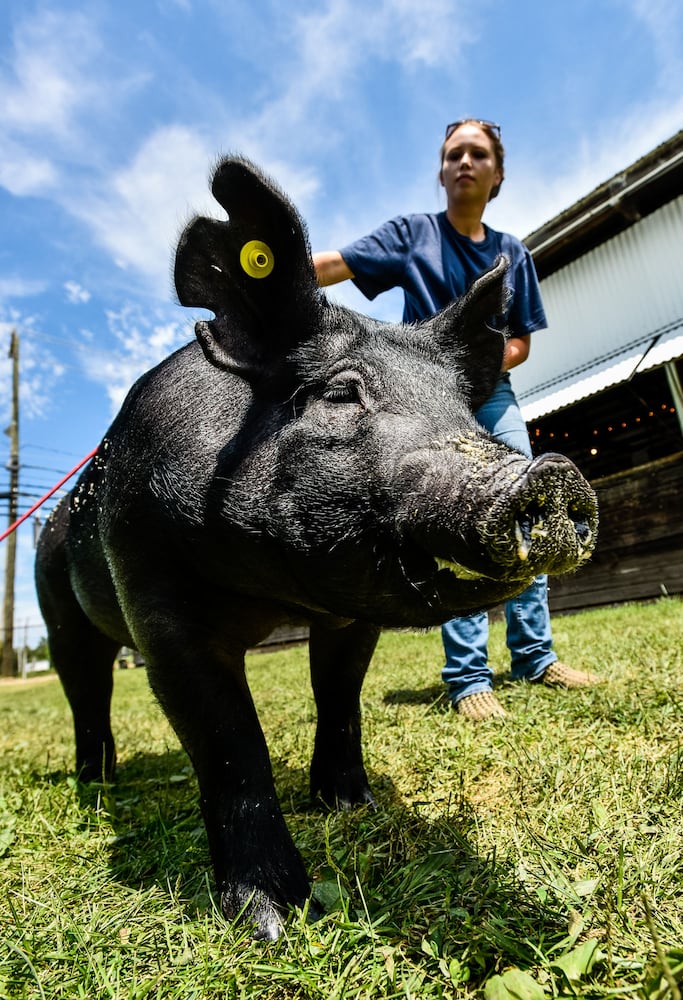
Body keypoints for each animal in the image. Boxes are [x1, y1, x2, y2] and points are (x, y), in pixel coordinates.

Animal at [34, 154, 596, 936]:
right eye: (339, 393)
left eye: (462, 408)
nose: (549, 473)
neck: (272, 595)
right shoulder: (153, 595)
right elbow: (230, 743)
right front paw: (272, 920)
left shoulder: (349, 613)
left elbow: (340, 696)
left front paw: (350, 805)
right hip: (55, 603)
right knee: (83, 688)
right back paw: (98, 783)